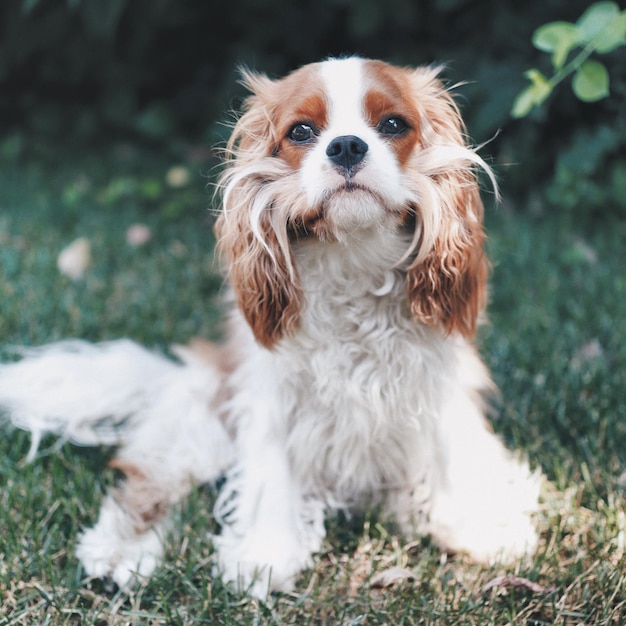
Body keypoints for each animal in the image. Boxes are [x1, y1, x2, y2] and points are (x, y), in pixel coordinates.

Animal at [0, 57, 536, 596]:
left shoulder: (440, 384)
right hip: (198, 429)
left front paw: (479, 525)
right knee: (147, 486)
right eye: (301, 131)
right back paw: (120, 551)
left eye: (392, 125)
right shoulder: (271, 395)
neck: (352, 259)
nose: (346, 145)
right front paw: (266, 552)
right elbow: (273, 470)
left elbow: (453, 452)